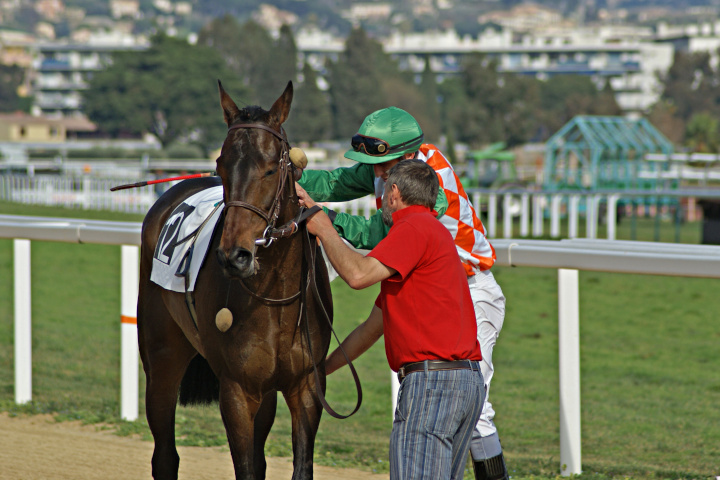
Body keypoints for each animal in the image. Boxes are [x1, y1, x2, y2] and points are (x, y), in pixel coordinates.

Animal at [136, 80, 334, 478]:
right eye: (221, 165)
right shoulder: (237, 391)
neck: (276, 297)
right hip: (162, 360)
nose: (234, 256)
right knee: (165, 455)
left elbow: (295, 465)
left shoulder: (306, 385)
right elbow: (244, 466)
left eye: (272, 169)